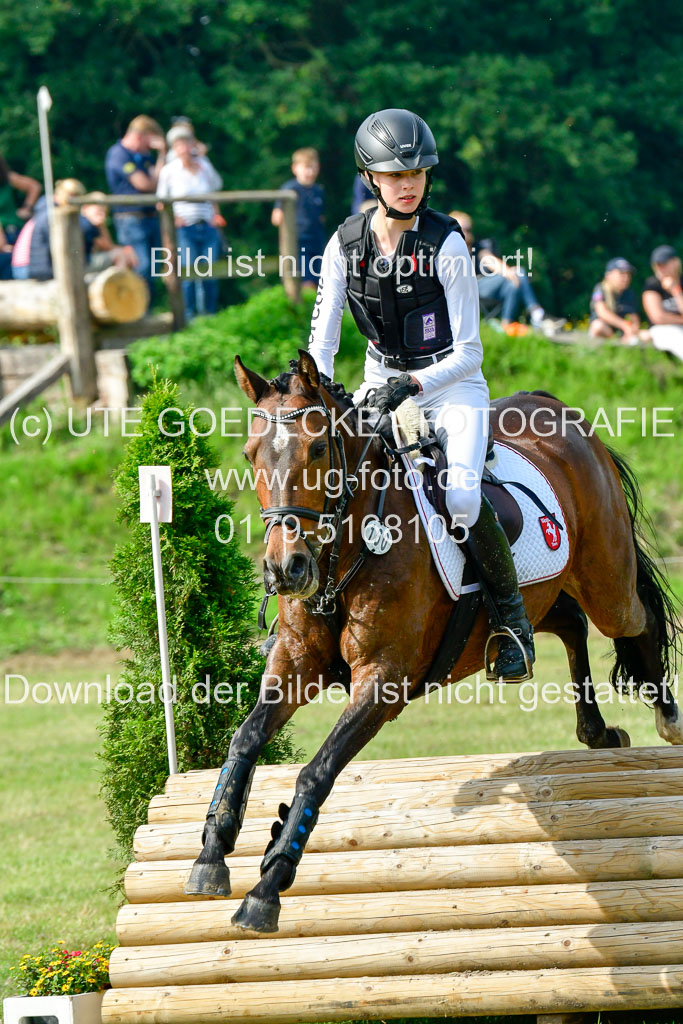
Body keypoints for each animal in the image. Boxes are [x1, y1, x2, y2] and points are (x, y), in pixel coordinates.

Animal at [185, 349, 681, 933]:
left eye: (318, 448)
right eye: (250, 454)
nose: (286, 570)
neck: (342, 554)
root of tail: (560, 410)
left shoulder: (383, 682)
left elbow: (316, 772)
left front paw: (267, 887)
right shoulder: (296, 662)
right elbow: (244, 740)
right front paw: (210, 855)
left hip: (605, 578)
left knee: (636, 619)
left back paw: (668, 720)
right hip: (547, 590)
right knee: (567, 622)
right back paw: (593, 728)